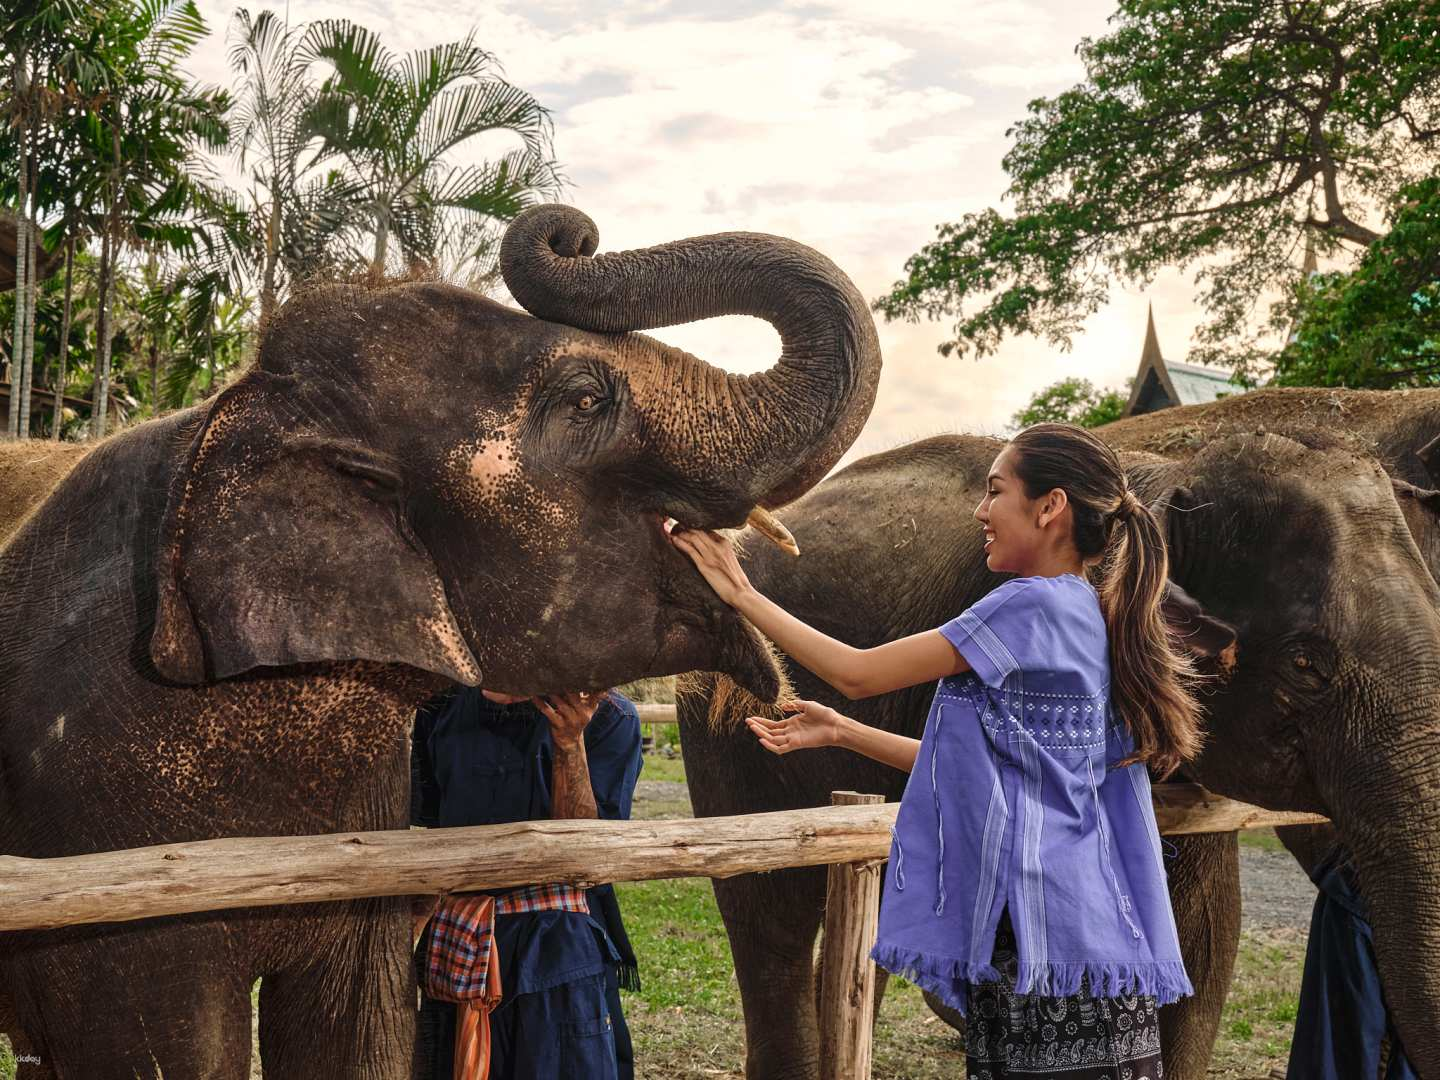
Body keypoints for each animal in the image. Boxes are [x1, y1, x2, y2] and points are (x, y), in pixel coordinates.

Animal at [0, 204, 875, 1080]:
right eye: (586, 400)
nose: (572, 232)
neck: (231, 412)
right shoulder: (96, 853)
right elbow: (165, 1050)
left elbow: (358, 1033)